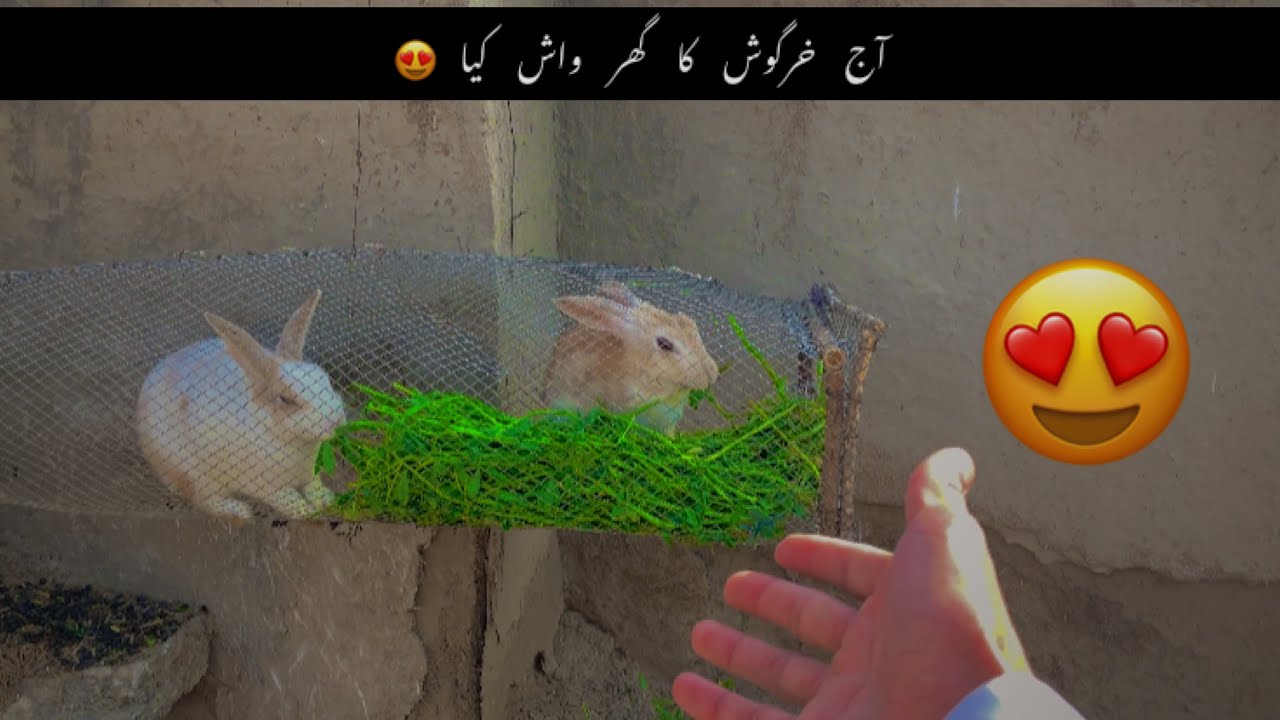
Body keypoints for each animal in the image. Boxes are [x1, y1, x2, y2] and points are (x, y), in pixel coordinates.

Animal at [136, 289, 347, 522]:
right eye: (286, 400)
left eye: (325, 378)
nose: (338, 421)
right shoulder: (264, 485)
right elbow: (286, 498)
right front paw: (305, 512)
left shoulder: (309, 473)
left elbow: (313, 486)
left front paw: (327, 500)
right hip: (195, 476)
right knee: (203, 501)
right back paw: (240, 511)